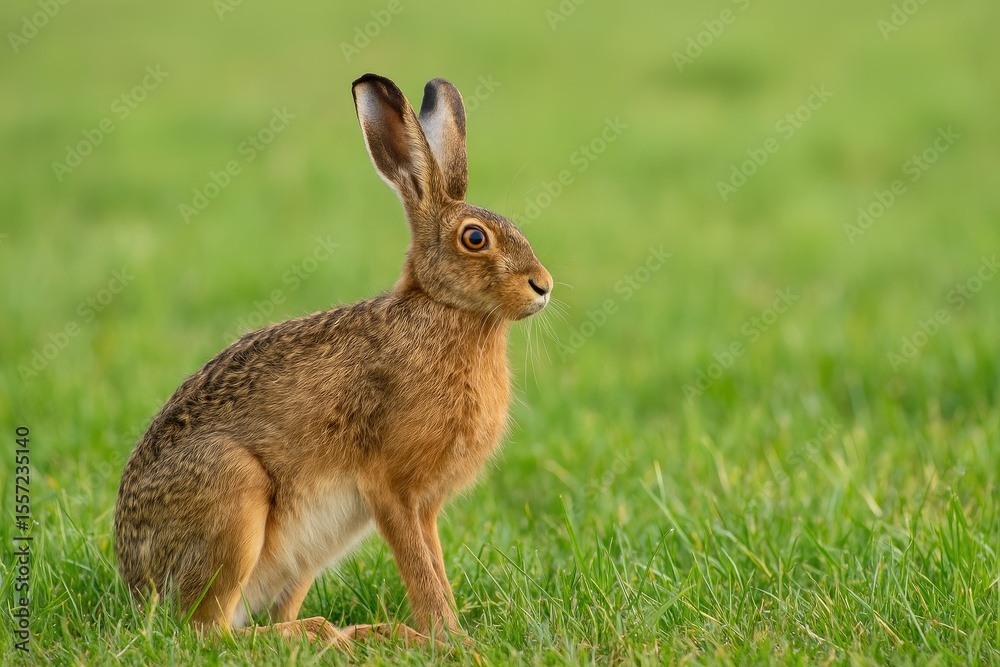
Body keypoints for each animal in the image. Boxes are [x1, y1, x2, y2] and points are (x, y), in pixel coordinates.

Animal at [113, 73, 553, 646]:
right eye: (475, 238)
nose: (544, 286)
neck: (443, 310)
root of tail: (135, 582)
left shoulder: (425, 507)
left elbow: (434, 566)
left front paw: (449, 634)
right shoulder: (391, 489)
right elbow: (421, 572)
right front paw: (448, 641)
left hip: (305, 554)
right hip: (232, 491)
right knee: (208, 630)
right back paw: (335, 633)